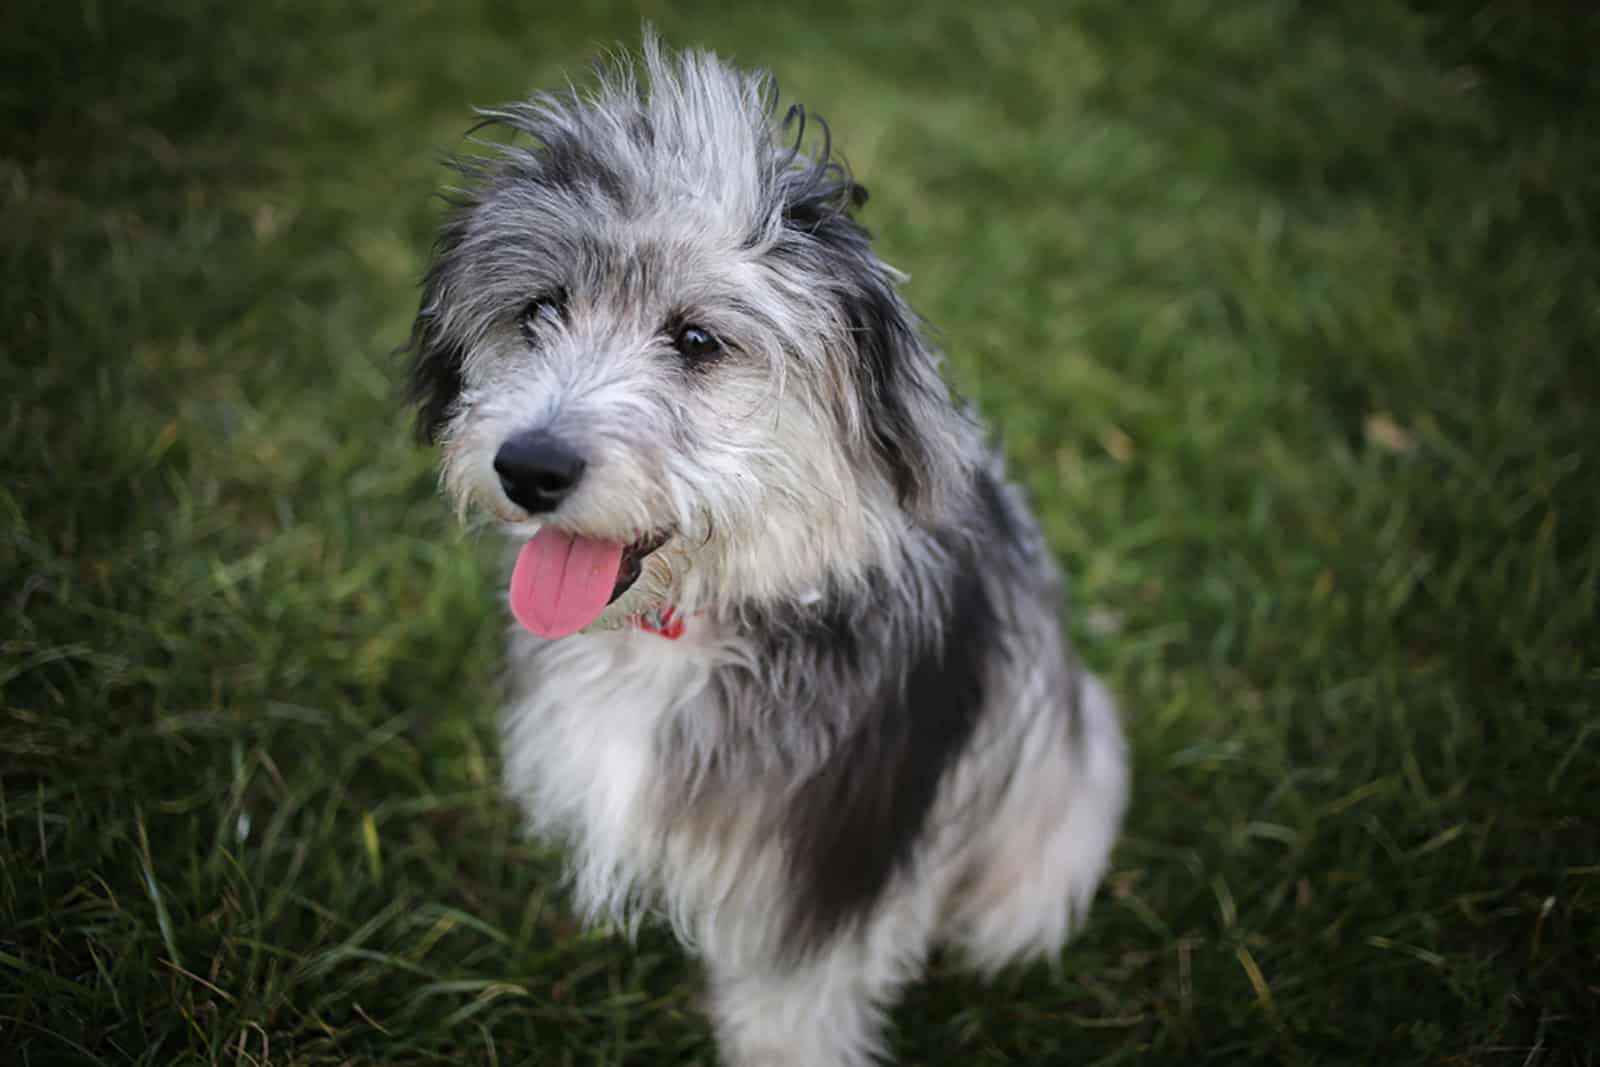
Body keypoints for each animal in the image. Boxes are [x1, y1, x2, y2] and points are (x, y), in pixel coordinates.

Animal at [409, 35, 1139, 1067]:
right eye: (541, 309)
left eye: (697, 338)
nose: (528, 466)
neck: (690, 630)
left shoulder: (826, 869)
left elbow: (794, 1013)